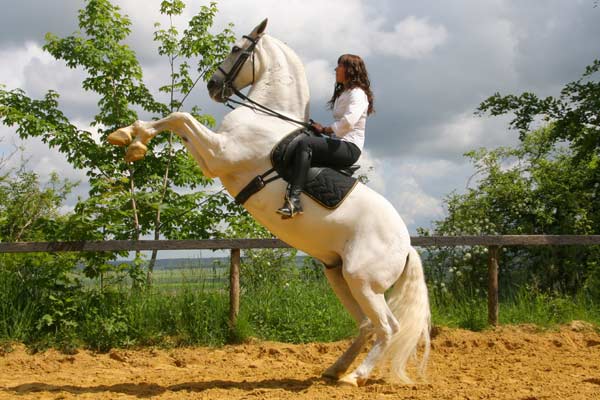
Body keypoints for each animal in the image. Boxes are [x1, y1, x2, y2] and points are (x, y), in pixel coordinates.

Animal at [106, 19, 426, 388]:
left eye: (235, 49)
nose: (213, 86)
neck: (267, 117)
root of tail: (406, 245)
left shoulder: (219, 154)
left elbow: (179, 117)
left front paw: (133, 141)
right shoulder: (214, 157)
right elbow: (177, 121)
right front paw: (127, 137)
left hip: (364, 282)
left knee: (388, 327)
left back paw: (354, 376)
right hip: (340, 276)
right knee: (366, 325)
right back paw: (335, 369)